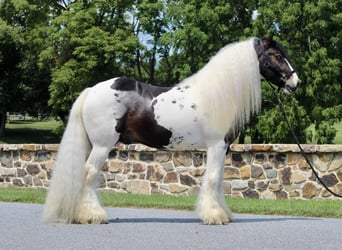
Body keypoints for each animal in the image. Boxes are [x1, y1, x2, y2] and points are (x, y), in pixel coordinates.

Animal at [42, 36, 300, 225]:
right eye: (277, 56)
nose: (295, 83)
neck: (217, 95)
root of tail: (91, 90)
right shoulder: (216, 145)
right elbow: (213, 178)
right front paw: (214, 216)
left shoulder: (223, 148)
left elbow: (217, 181)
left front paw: (222, 214)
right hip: (102, 145)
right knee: (90, 174)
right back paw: (93, 216)